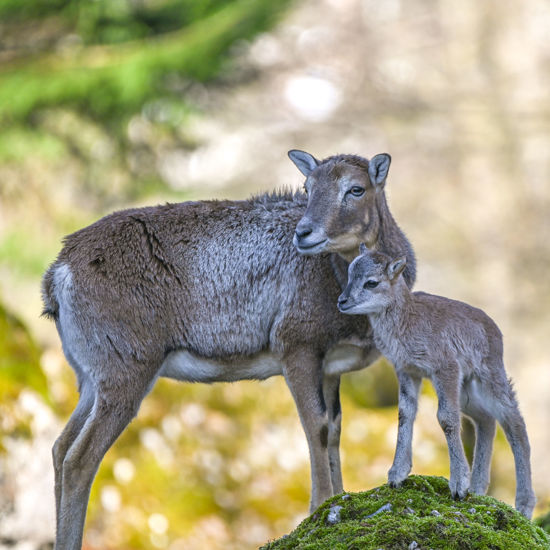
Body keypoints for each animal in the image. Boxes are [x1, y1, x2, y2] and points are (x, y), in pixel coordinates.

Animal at [338, 248, 536, 520]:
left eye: (371, 282)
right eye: (349, 274)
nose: (342, 301)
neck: (408, 322)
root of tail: (495, 330)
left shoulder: (445, 368)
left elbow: (446, 419)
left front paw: (458, 487)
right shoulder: (407, 371)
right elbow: (405, 414)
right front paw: (396, 475)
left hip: (489, 375)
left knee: (514, 422)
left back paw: (524, 506)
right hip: (466, 389)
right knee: (485, 419)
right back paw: (478, 489)